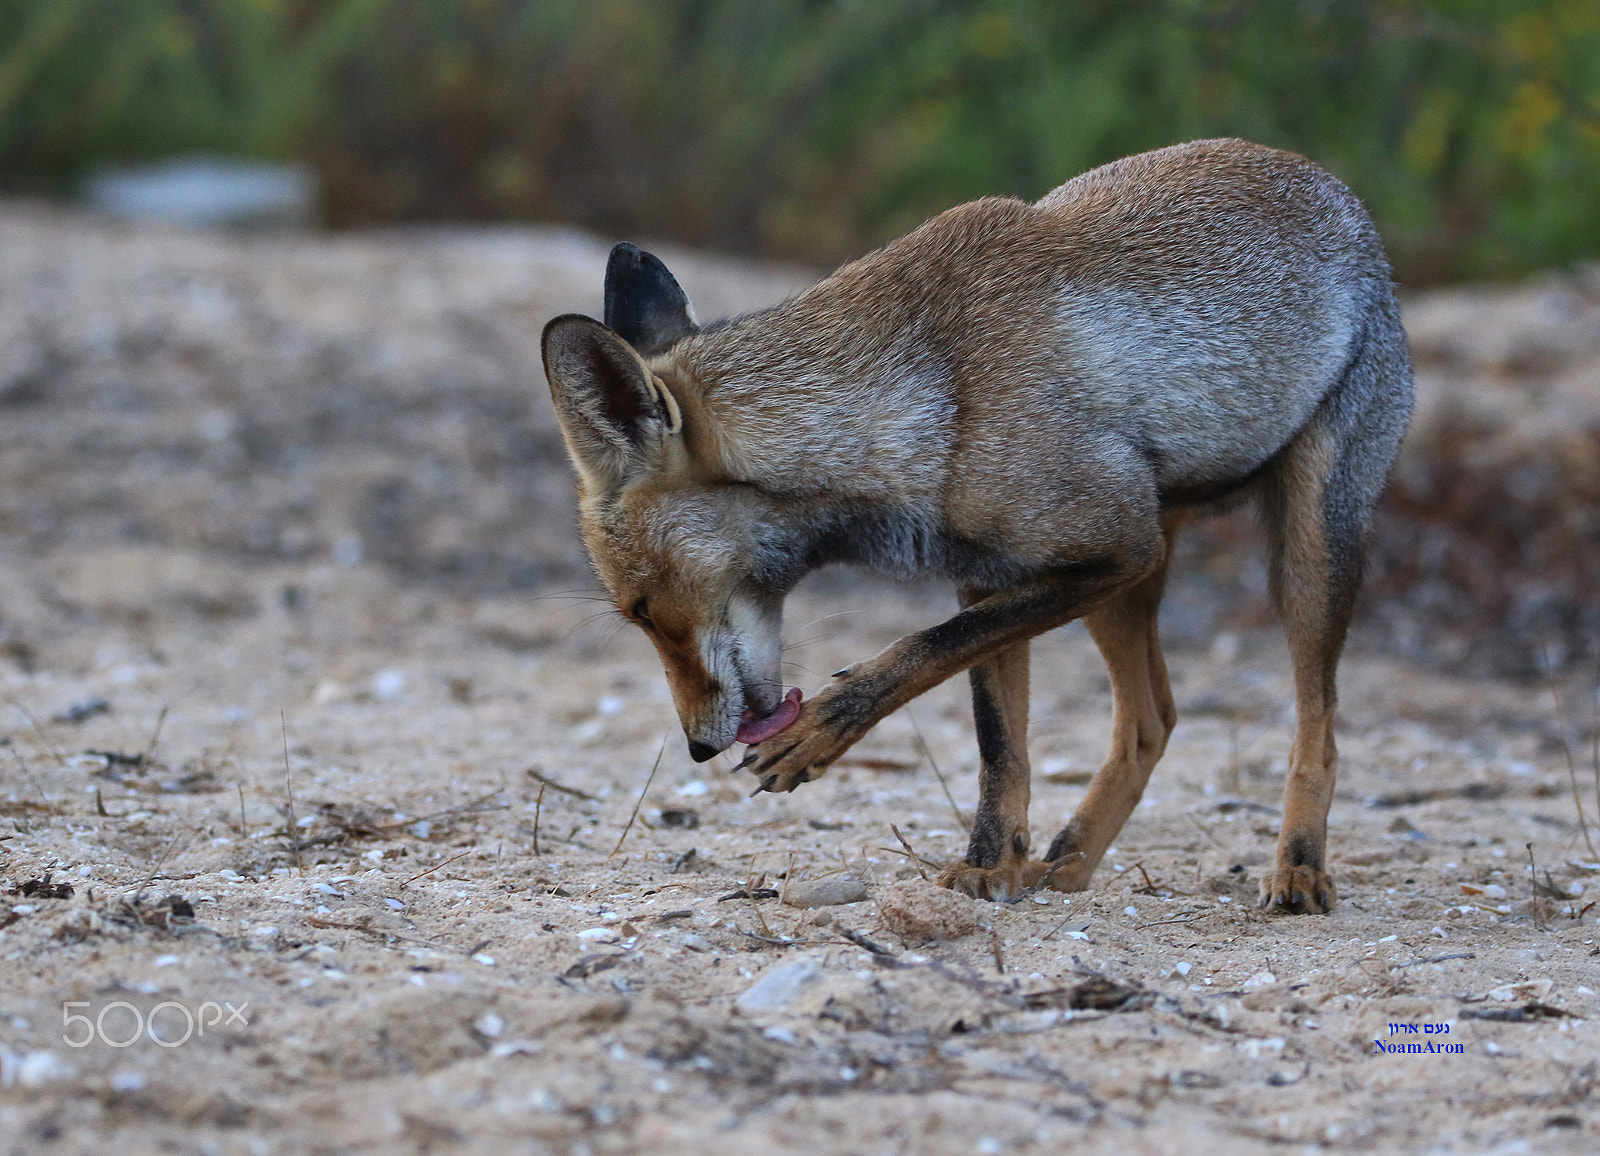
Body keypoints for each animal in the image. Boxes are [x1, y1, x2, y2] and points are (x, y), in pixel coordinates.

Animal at [541, 138, 1412, 913]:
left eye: (643, 611)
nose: (697, 747)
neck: (924, 398)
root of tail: (1333, 188)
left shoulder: (1113, 551)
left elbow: (920, 651)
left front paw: (824, 729)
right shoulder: (993, 574)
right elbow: (999, 744)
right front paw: (990, 867)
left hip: (1299, 557)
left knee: (1318, 730)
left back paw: (1298, 868)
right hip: (1133, 585)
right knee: (1152, 721)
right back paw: (1066, 865)